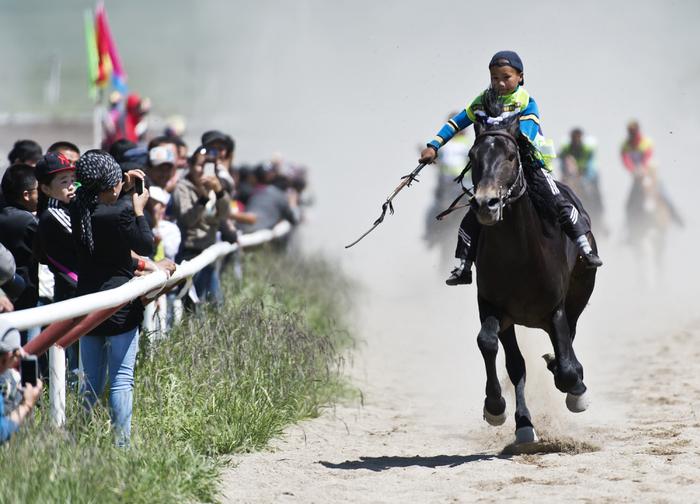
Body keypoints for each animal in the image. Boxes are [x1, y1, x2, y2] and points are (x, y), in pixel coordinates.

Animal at [470, 115, 596, 444]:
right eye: (472, 156)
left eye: (511, 156)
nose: (486, 204)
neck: (520, 259)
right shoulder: (494, 306)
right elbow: (490, 345)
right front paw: (496, 408)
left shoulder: (555, 309)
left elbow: (567, 367)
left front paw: (576, 389)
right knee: (517, 364)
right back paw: (524, 423)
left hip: (580, 292)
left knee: (569, 338)